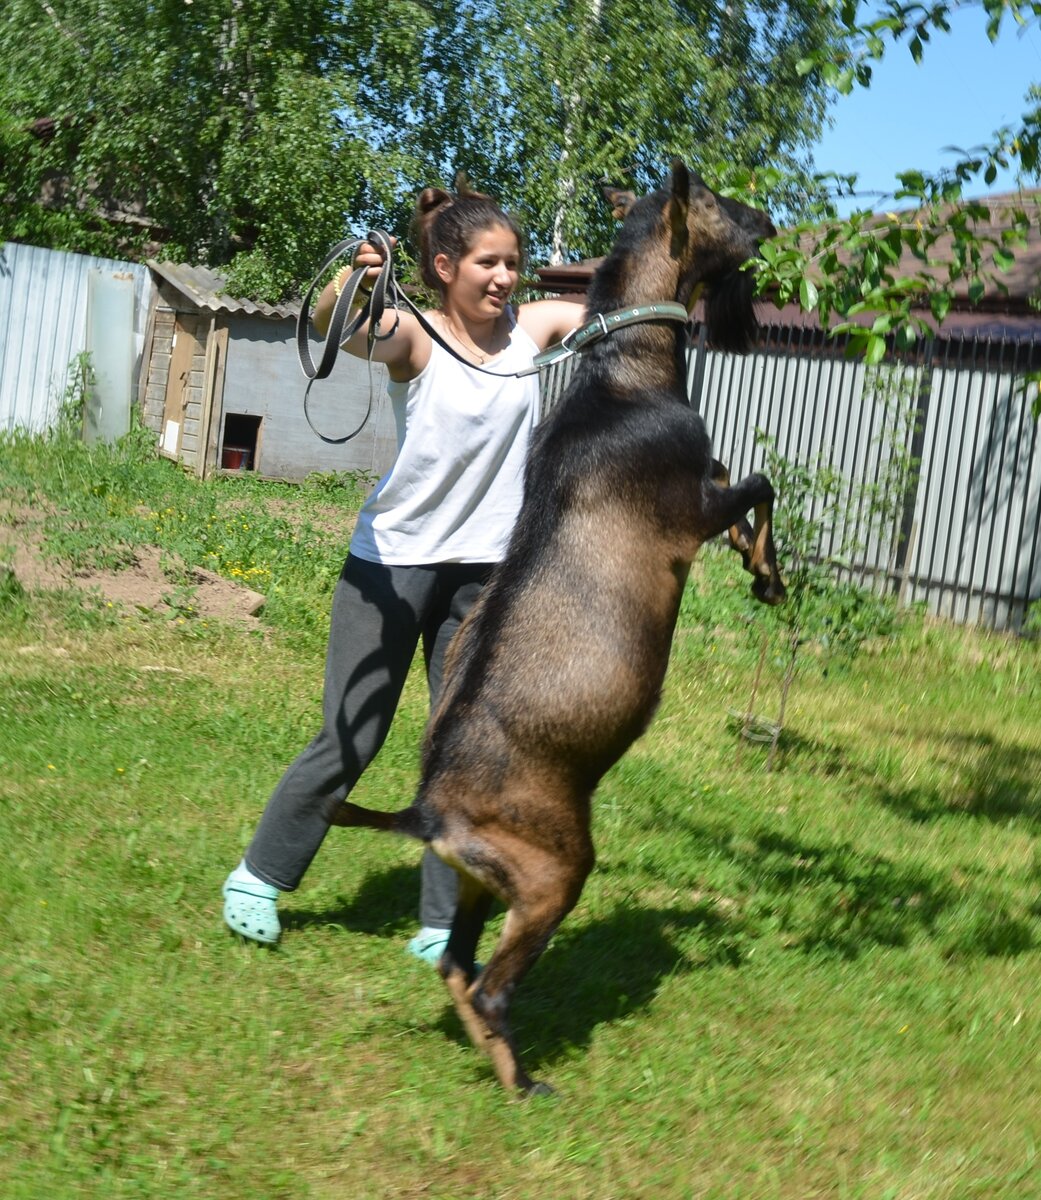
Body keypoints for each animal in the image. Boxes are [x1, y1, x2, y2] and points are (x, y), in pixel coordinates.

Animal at [338, 159, 786, 1099]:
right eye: (718, 203)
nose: (769, 217)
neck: (622, 372)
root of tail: (428, 817)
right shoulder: (686, 511)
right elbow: (758, 481)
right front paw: (767, 573)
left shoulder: (703, 484)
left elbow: (742, 476)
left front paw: (757, 561)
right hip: (554, 872)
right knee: (490, 985)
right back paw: (525, 1084)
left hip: (484, 887)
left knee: (458, 967)